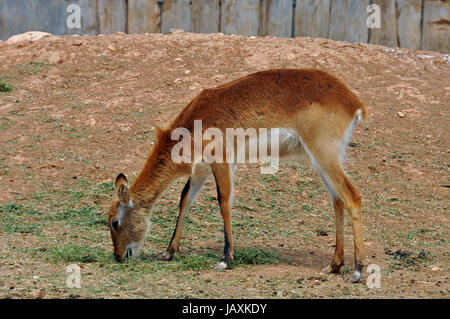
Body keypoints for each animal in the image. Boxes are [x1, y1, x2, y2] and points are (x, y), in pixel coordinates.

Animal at [107, 69, 368, 284]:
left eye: (114, 222)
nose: (118, 256)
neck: (191, 127)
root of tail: (354, 102)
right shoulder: (201, 168)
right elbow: (185, 199)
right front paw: (168, 252)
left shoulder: (221, 162)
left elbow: (224, 203)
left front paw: (225, 259)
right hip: (322, 161)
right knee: (337, 200)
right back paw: (334, 265)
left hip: (324, 156)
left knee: (352, 196)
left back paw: (357, 271)